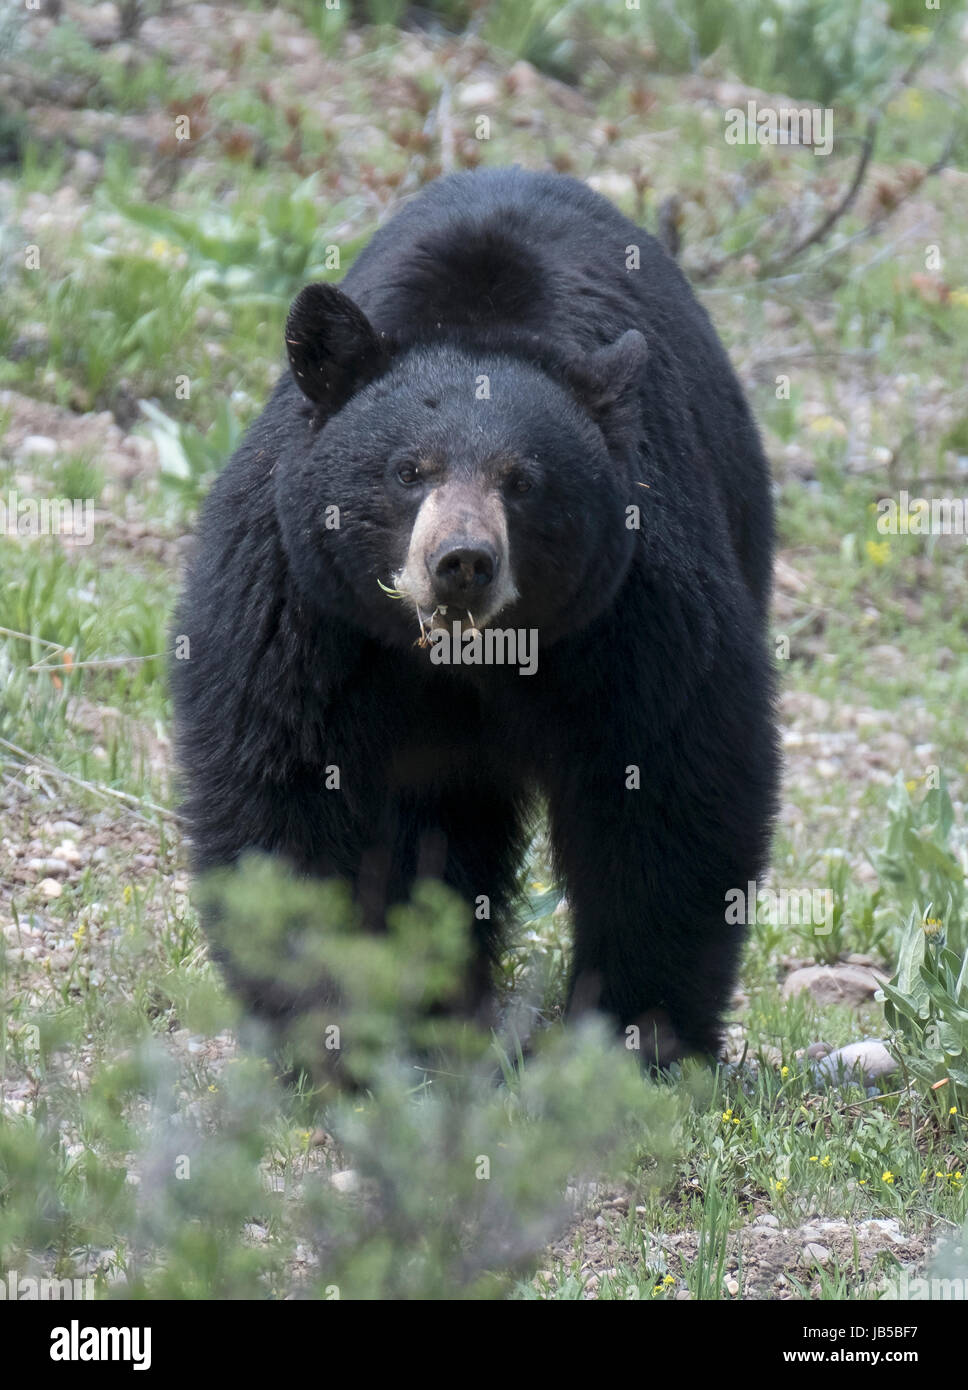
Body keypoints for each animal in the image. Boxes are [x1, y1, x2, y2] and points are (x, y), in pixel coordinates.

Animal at [171, 168, 778, 1067]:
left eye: (522, 481)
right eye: (408, 469)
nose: (461, 561)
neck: (466, 659)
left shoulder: (635, 607)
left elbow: (668, 787)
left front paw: (637, 1035)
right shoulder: (301, 603)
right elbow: (286, 784)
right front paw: (333, 1027)